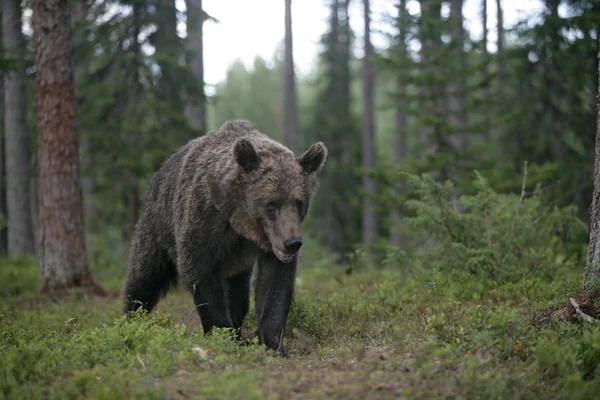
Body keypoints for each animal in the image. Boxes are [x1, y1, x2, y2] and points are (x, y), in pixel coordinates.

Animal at [122, 119, 328, 356]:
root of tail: (160, 171)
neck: (240, 222)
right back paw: (131, 319)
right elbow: (201, 273)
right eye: (271, 203)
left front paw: (273, 343)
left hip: (237, 263)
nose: (292, 243)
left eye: (299, 202)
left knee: (238, 292)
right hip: (159, 226)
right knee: (145, 276)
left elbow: (275, 283)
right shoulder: (204, 220)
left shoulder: (267, 246)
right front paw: (221, 334)